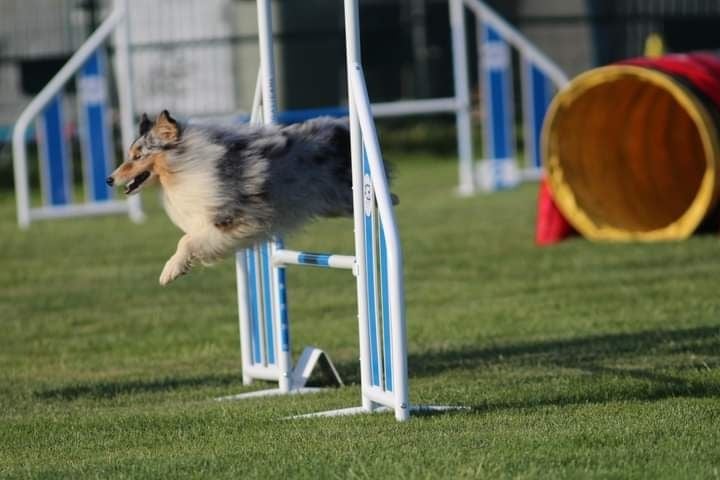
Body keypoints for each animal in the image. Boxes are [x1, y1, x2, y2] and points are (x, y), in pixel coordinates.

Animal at [105, 111, 388, 284]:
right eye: (129, 155)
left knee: (388, 199)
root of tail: (344, 126)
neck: (183, 168)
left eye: (138, 156)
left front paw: (170, 271)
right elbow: (192, 239)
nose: (109, 179)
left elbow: (186, 241)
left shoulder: (232, 219)